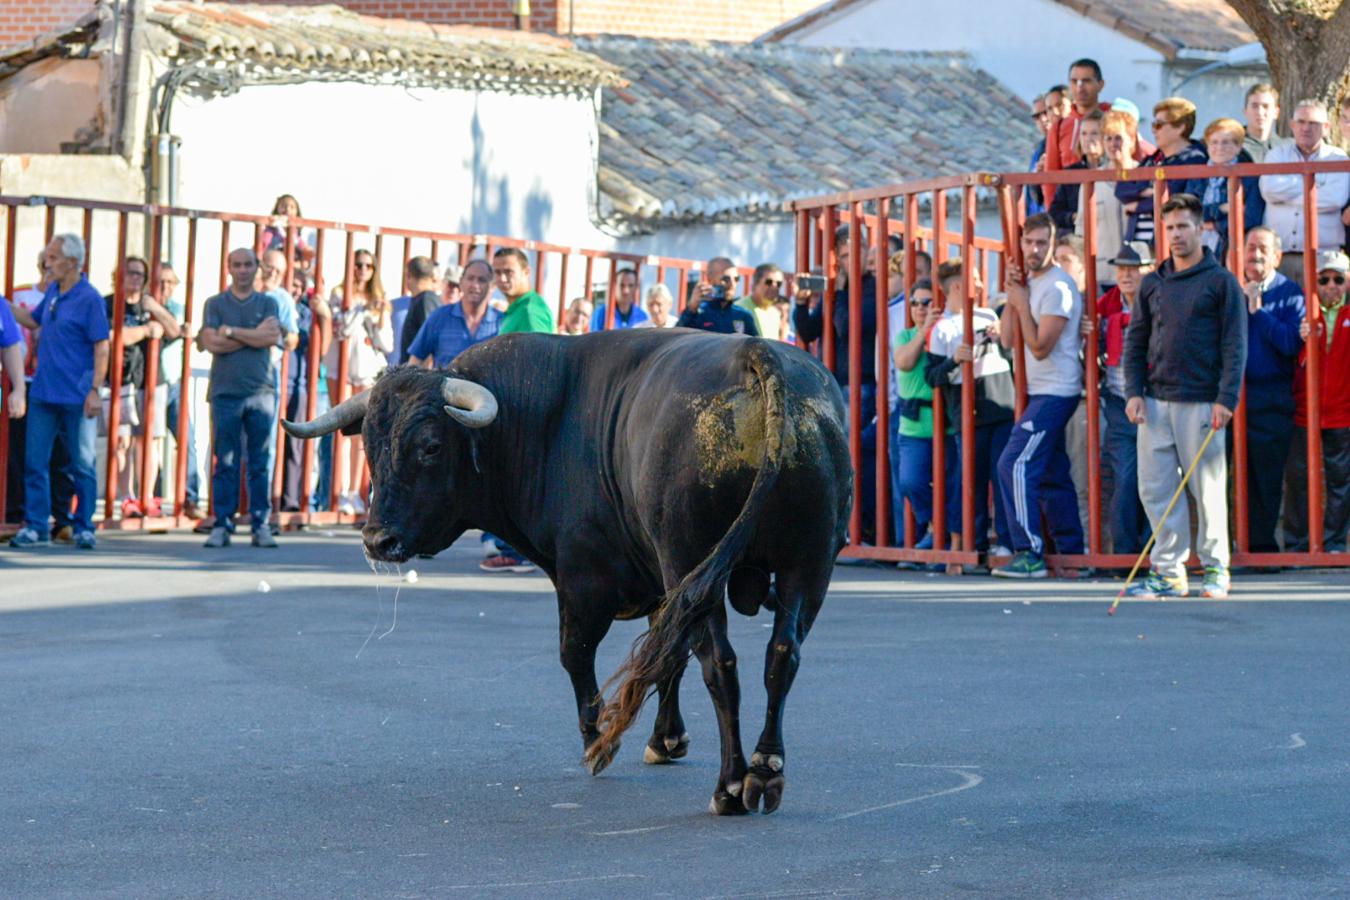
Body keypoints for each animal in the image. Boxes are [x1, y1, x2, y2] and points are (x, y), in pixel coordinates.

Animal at [283, 330, 847, 814]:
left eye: (430, 447)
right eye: (369, 445)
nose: (378, 539)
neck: (544, 419)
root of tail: (756, 354)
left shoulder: (583, 579)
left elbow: (576, 654)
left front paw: (597, 741)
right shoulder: (665, 587)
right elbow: (665, 656)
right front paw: (665, 739)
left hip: (695, 560)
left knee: (720, 663)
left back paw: (729, 786)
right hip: (806, 567)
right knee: (781, 655)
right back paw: (764, 770)